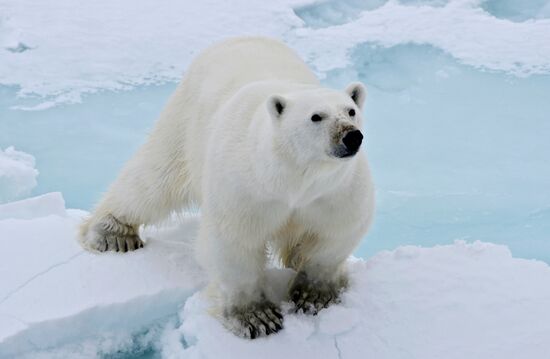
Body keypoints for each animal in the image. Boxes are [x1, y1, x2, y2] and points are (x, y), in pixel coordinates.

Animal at [80, 37, 378, 340]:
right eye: (316, 116)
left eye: (350, 110)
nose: (352, 136)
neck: (292, 179)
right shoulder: (246, 187)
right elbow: (234, 242)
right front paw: (257, 318)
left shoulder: (334, 191)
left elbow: (336, 233)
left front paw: (313, 296)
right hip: (186, 119)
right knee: (154, 178)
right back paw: (114, 234)